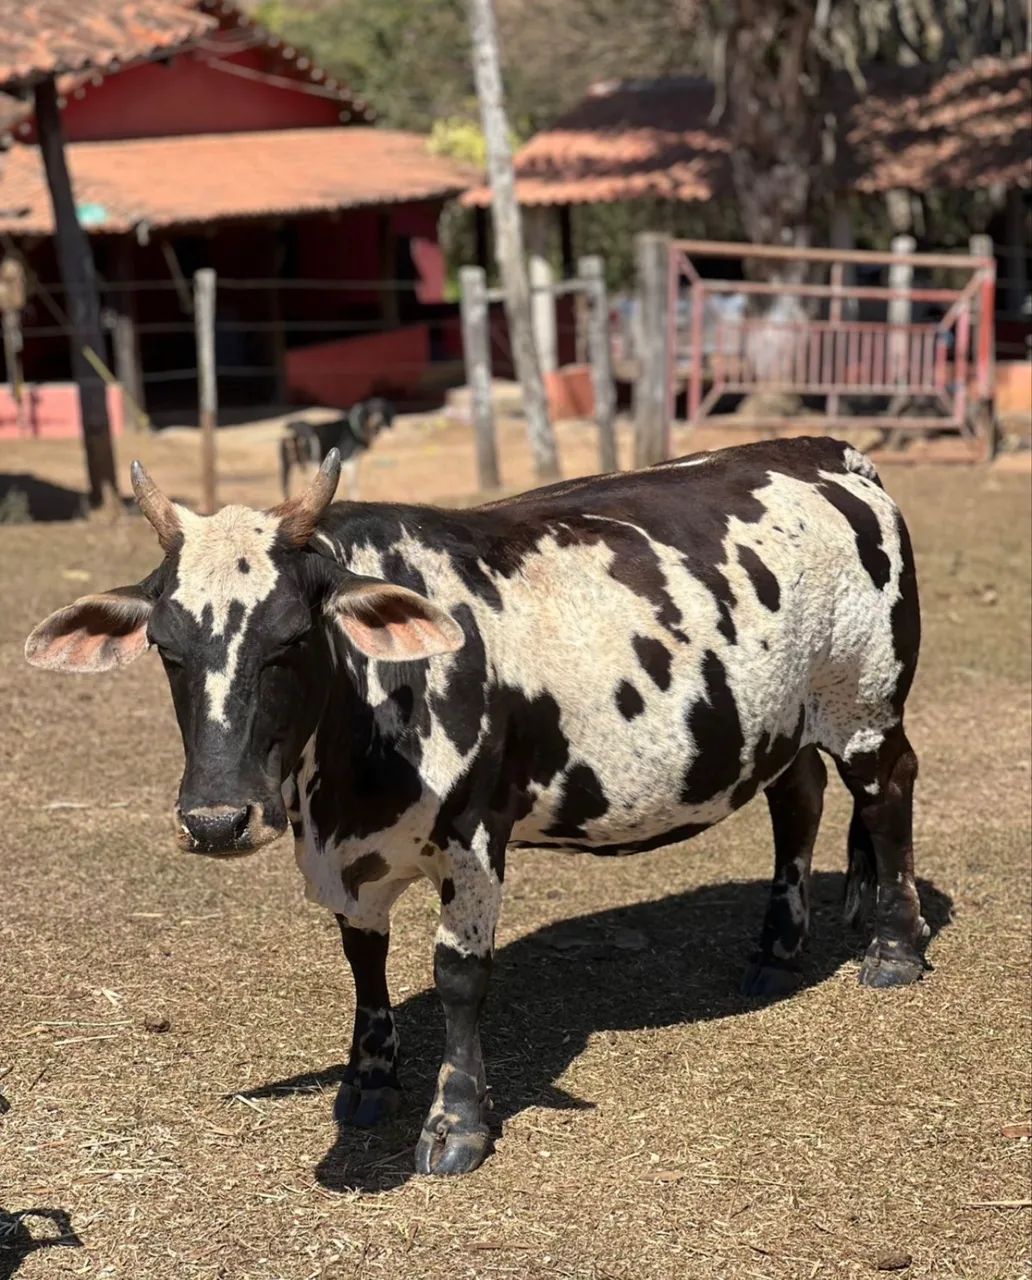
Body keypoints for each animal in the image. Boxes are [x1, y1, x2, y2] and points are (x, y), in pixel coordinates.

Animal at [25, 435, 927, 1177]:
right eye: (165, 648)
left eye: (292, 638)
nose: (216, 820)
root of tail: (826, 450)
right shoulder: (346, 861)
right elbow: (363, 961)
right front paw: (369, 1076)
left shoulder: (474, 838)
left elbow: (458, 976)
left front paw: (456, 1123)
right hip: (783, 720)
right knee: (798, 800)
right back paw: (777, 948)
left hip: (863, 706)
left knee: (889, 793)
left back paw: (895, 947)